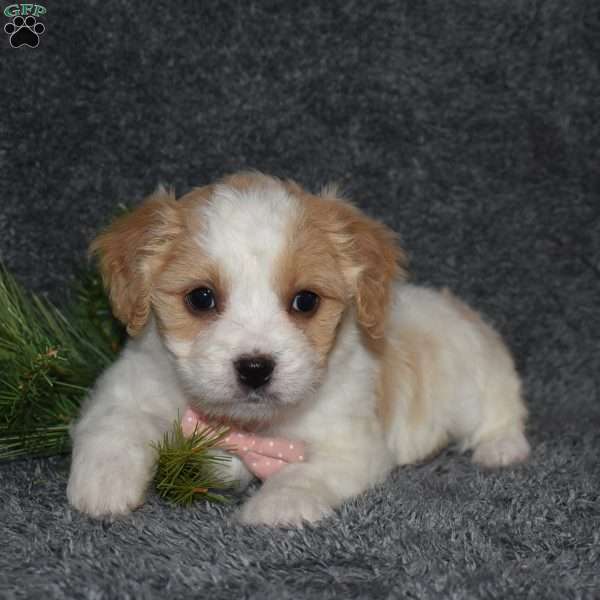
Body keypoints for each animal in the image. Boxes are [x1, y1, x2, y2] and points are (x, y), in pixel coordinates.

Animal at [67, 172, 528, 524]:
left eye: (305, 301)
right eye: (201, 298)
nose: (255, 367)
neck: (250, 427)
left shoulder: (351, 445)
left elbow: (305, 473)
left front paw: (275, 506)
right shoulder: (128, 387)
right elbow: (113, 426)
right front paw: (103, 485)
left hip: (473, 381)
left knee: (500, 407)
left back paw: (501, 448)